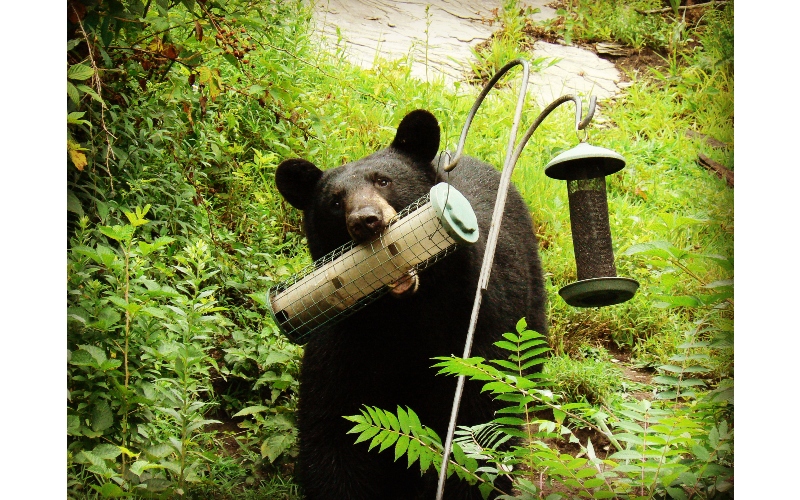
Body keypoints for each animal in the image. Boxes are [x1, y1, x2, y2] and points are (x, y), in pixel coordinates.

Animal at [274, 109, 548, 499]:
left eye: (383, 181)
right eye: (335, 201)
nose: (366, 220)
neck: (405, 316)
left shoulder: (476, 322)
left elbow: (477, 420)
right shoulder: (346, 340)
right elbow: (335, 426)